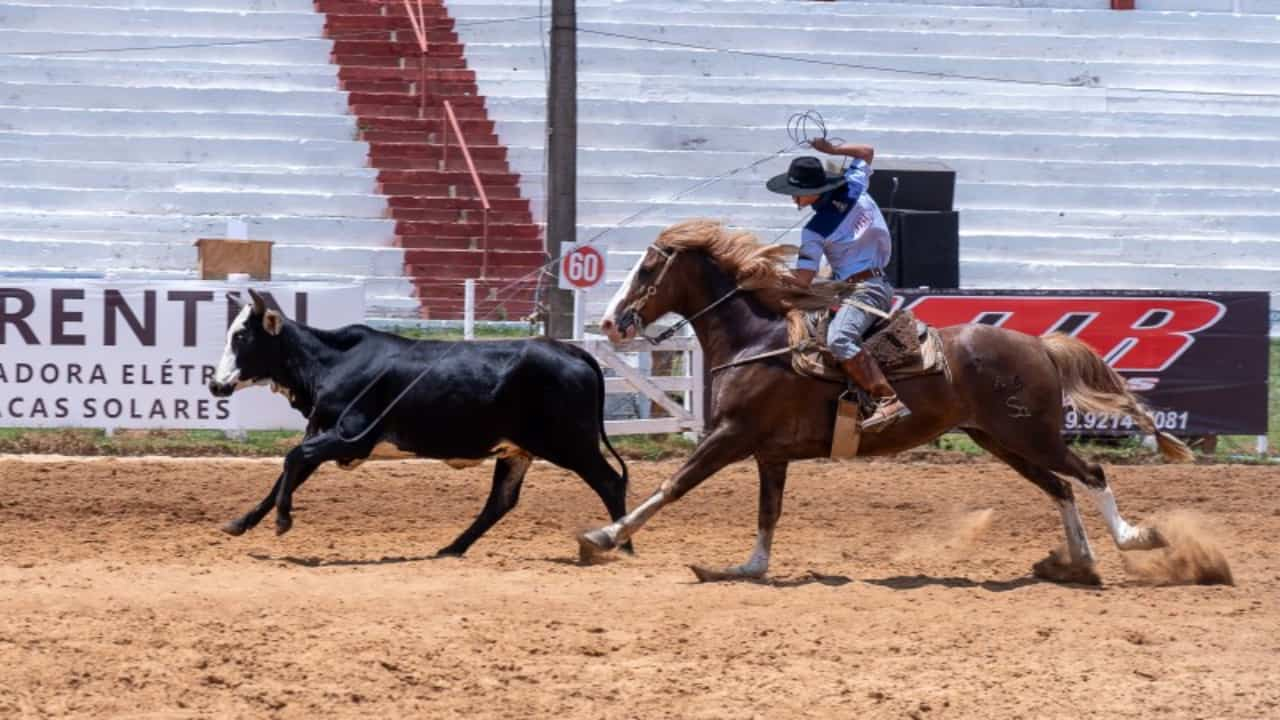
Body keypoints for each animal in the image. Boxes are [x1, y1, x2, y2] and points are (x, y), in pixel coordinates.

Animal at [576, 219, 1192, 584]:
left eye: (649, 268)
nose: (609, 323)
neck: (760, 342)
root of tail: (1038, 343)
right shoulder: (769, 453)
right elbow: (768, 511)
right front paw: (749, 566)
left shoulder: (731, 436)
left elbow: (672, 485)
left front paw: (602, 537)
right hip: (1002, 441)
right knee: (1060, 487)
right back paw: (1079, 561)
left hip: (1030, 435)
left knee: (1090, 473)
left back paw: (1132, 539)